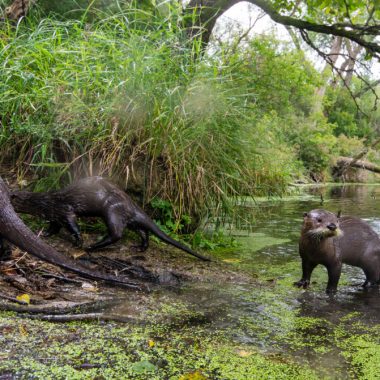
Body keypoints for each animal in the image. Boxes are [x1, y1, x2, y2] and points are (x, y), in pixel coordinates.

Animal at [9, 176, 211, 262]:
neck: (47, 202)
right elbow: (54, 227)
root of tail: (130, 203)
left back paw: (93, 246)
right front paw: (45, 234)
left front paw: (78, 242)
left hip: (112, 211)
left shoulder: (65, 210)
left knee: (117, 234)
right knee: (142, 230)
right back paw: (140, 247)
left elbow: (73, 225)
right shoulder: (54, 215)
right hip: (127, 217)